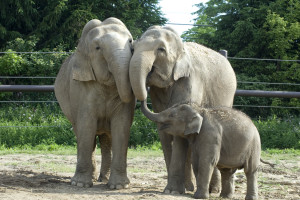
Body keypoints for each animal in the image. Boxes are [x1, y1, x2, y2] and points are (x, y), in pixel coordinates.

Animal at [54, 17, 135, 189]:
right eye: (98, 48)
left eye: (131, 41)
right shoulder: (79, 88)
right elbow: (87, 125)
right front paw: (80, 184)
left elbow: (122, 125)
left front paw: (119, 186)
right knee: (82, 134)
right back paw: (87, 179)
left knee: (107, 138)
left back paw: (103, 180)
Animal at [129, 25, 237, 195]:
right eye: (133, 48)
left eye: (161, 49)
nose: (147, 77)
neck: (182, 49)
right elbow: (165, 134)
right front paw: (172, 190)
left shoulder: (190, 82)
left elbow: (179, 133)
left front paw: (173, 191)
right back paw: (191, 187)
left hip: (228, 98)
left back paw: (212, 190)